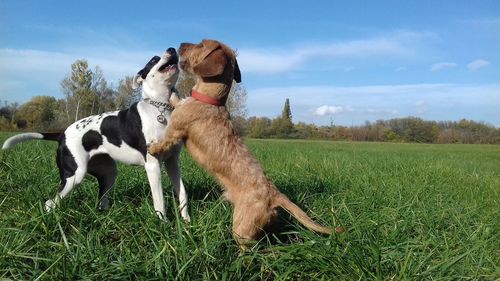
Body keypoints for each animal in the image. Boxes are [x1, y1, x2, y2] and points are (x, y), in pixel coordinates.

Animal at [150, 39, 342, 245]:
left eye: (201, 44)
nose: (179, 44)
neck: (209, 100)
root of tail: (274, 195)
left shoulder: (175, 130)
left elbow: (164, 141)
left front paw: (152, 148)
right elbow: (177, 99)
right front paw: (173, 93)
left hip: (241, 229)